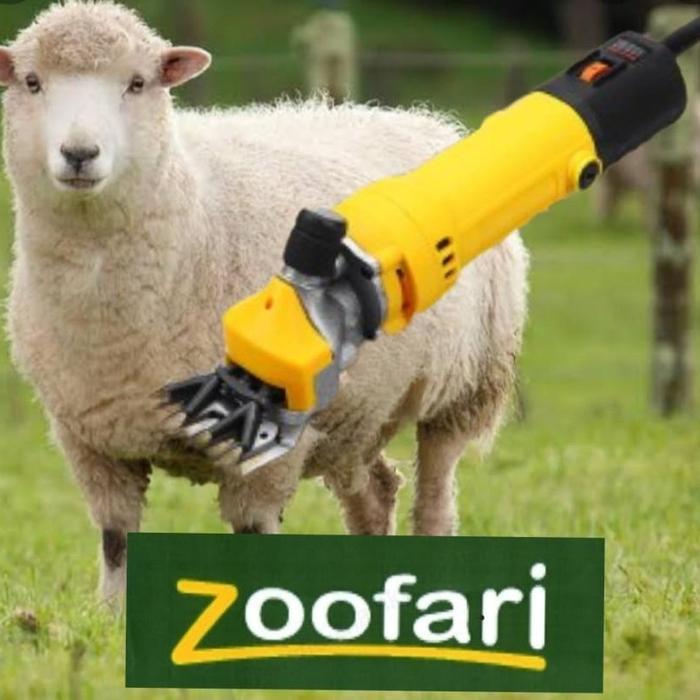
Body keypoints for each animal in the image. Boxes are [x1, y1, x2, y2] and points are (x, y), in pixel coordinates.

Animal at [1, 0, 528, 604]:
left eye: (137, 83)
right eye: (32, 82)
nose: (80, 154)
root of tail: (420, 118)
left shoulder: (268, 447)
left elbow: (253, 533)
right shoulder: (91, 439)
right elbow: (117, 540)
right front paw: (112, 616)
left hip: (464, 385)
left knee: (436, 495)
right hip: (358, 411)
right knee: (376, 492)